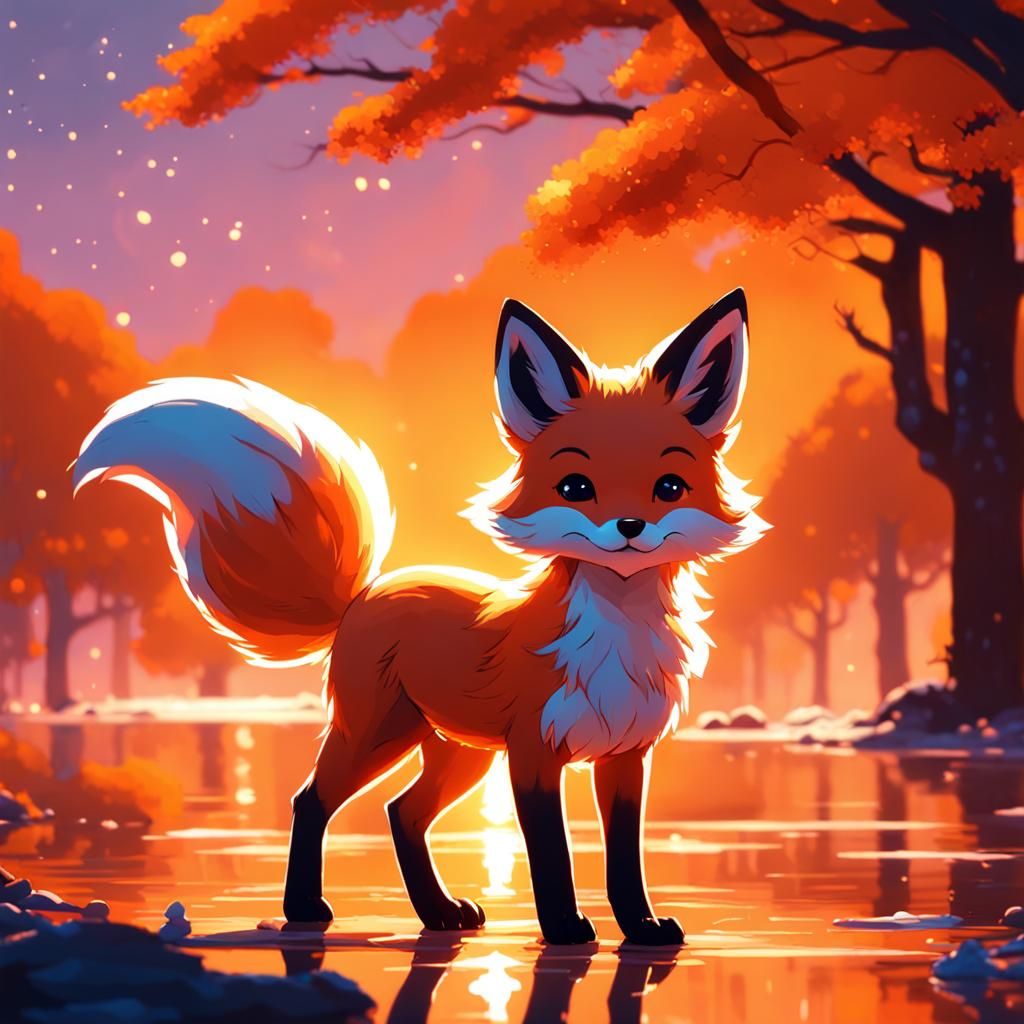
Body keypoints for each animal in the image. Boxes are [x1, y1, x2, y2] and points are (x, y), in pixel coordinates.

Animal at [73, 287, 766, 946]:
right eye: (576, 487)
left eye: (669, 487)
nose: (629, 527)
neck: (616, 636)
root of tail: (364, 595)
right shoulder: (533, 755)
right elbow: (552, 855)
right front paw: (564, 929)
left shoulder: (624, 756)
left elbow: (625, 861)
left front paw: (641, 929)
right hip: (379, 734)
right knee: (311, 800)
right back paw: (305, 909)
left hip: (459, 755)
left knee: (401, 813)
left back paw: (438, 913)